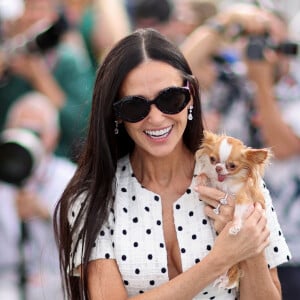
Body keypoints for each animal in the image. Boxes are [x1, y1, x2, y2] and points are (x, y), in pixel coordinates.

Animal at [195, 131, 272, 288]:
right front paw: (201, 177)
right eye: (213, 159)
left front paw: (235, 226)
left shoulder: (243, 197)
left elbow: (237, 213)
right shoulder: (214, 185)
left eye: (232, 166)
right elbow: (207, 177)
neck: (226, 182)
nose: (218, 168)